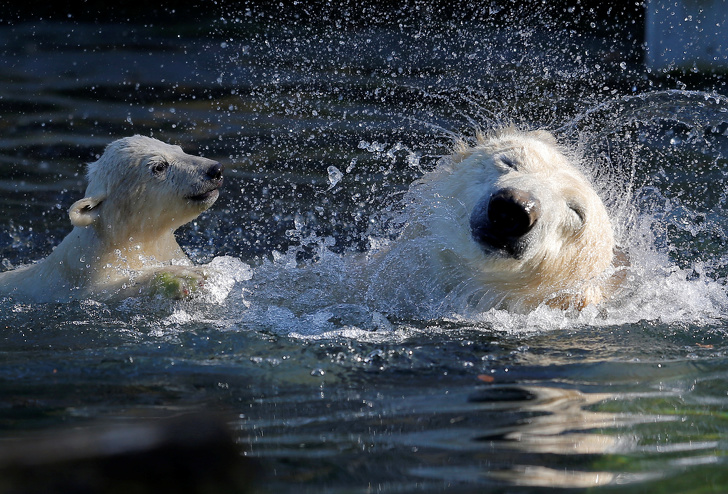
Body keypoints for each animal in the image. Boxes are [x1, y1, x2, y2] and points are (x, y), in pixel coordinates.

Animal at [0, 137, 225, 302]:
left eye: (179, 149)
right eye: (159, 166)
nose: (215, 170)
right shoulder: (78, 284)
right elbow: (115, 289)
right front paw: (183, 278)